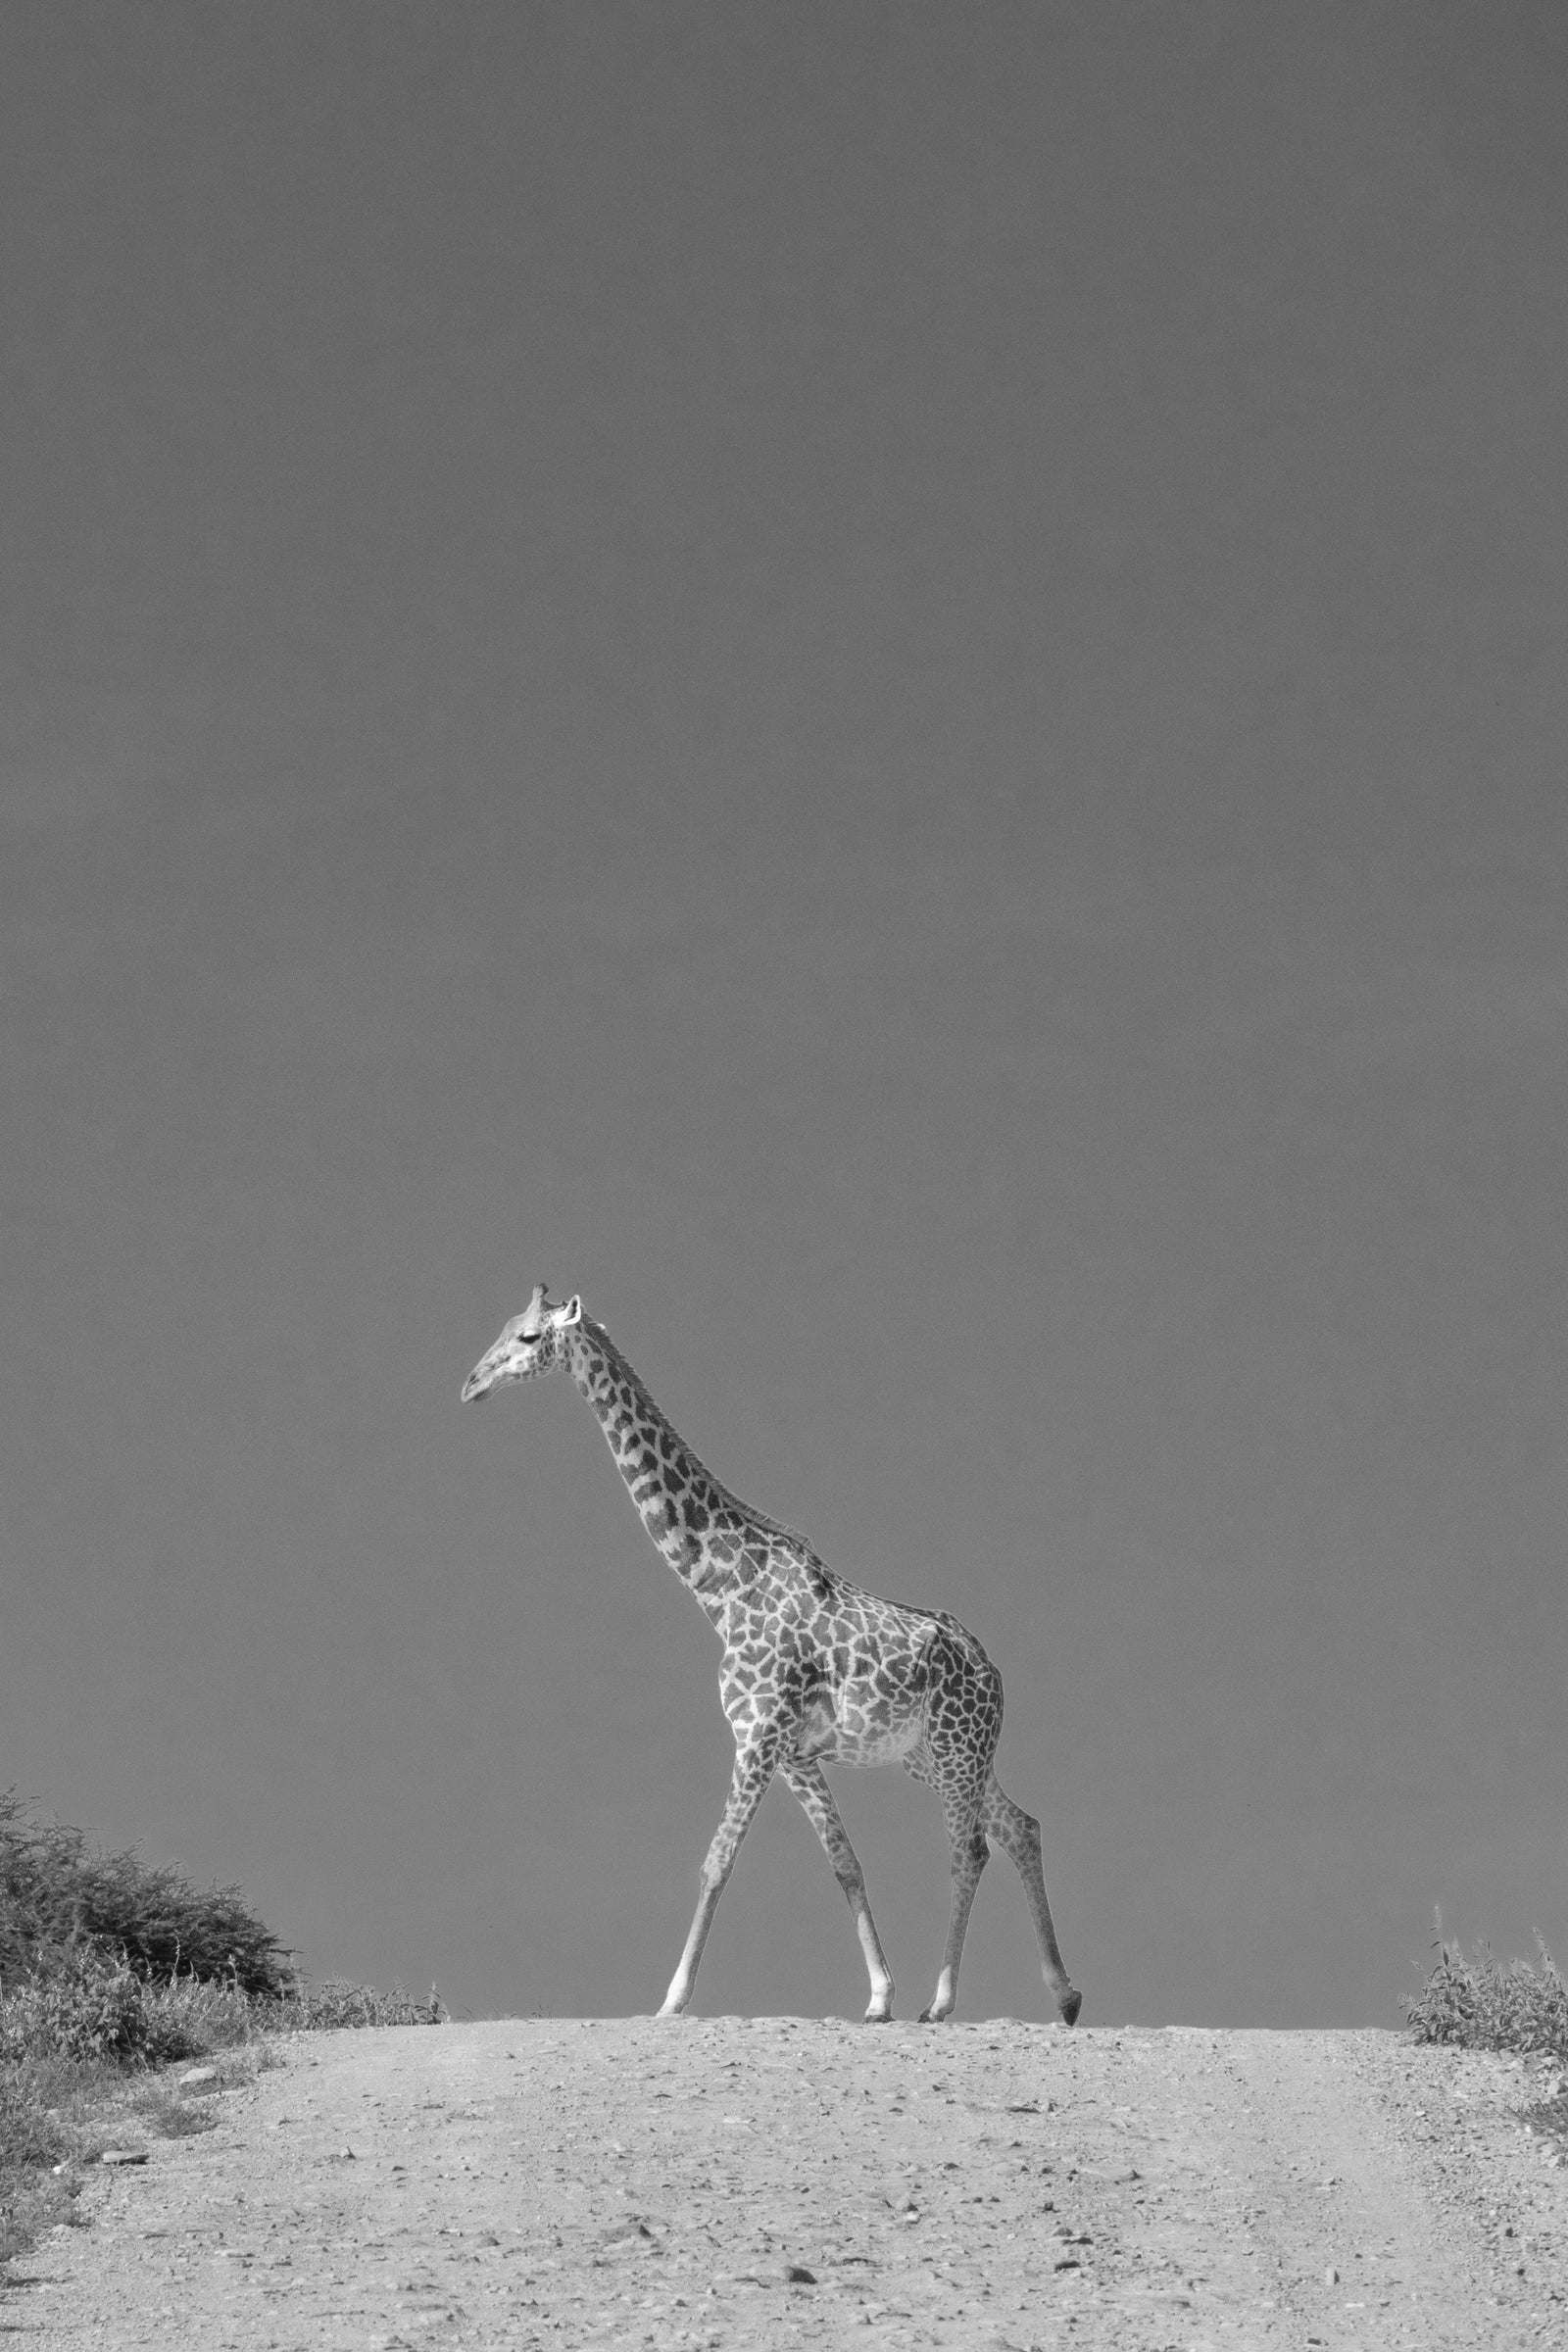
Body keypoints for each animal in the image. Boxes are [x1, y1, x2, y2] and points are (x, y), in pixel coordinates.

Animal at [461, 1283, 1082, 2027]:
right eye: (502, 1327)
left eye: (528, 1337)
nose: (470, 1384)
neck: (721, 1586)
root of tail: (994, 1671)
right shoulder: (795, 1755)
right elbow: (846, 1864)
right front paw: (879, 1997)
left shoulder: (757, 1737)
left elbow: (716, 1863)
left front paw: (671, 2001)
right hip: (933, 1757)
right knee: (1023, 1826)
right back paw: (1065, 1995)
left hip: (956, 1748)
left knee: (971, 1849)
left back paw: (943, 2002)